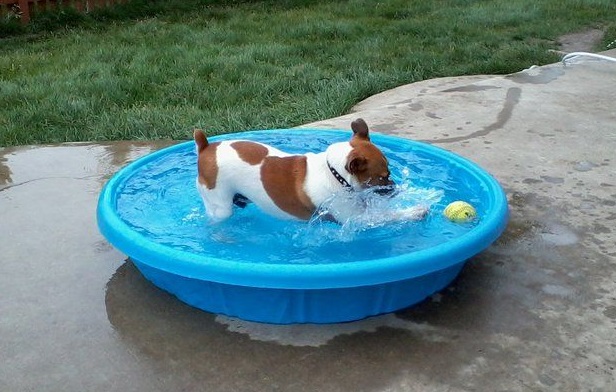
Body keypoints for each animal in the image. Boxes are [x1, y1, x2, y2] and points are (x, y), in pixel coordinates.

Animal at [192, 118, 394, 224]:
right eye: (384, 177)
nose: (394, 186)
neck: (333, 173)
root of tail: (206, 147)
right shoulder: (355, 218)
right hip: (220, 206)